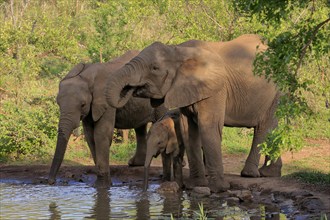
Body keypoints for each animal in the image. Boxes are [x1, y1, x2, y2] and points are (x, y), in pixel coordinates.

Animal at [104, 34, 282, 192]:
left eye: (154, 68)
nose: (129, 88)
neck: (178, 51)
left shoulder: (216, 89)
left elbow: (209, 126)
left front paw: (219, 189)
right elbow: (188, 130)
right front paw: (196, 185)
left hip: (277, 92)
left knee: (264, 128)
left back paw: (250, 174)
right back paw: (269, 173)